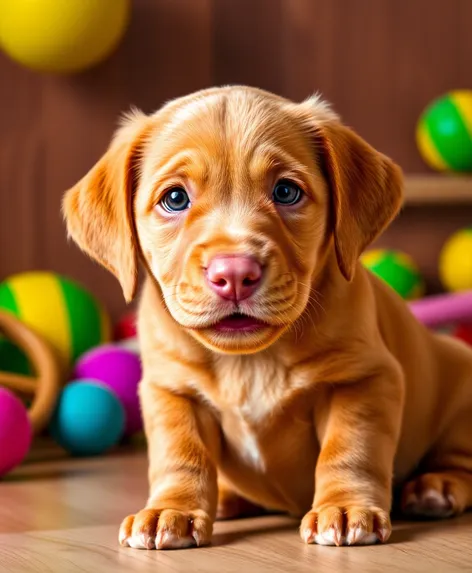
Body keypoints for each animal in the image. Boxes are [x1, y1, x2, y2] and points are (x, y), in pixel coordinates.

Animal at [61, 87, 472, 548]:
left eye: (286, 192)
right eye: (175, 199)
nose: (234, 274)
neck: (249, 362)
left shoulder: (365, 379)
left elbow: (350, 449)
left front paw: (345, 508)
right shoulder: (171, 391)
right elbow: (180, 456)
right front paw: (170, 510)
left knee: (460, 460)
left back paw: (434, 487)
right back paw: (227, 496)